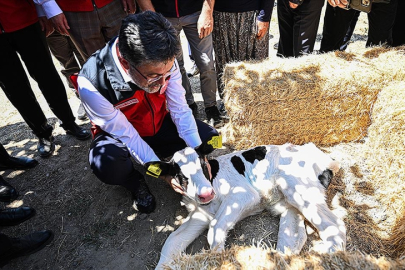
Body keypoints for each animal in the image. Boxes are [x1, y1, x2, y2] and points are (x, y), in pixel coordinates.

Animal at [154, 142, 344, 268]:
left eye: (203, 165)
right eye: (179, 174)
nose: (206, 193)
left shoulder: (244, 194)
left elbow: (215, 228)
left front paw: (218, 258)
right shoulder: (200, 214)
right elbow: (172, 240)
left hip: (300, 189)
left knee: (334, 224)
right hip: (289, 202)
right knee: (294, 236)